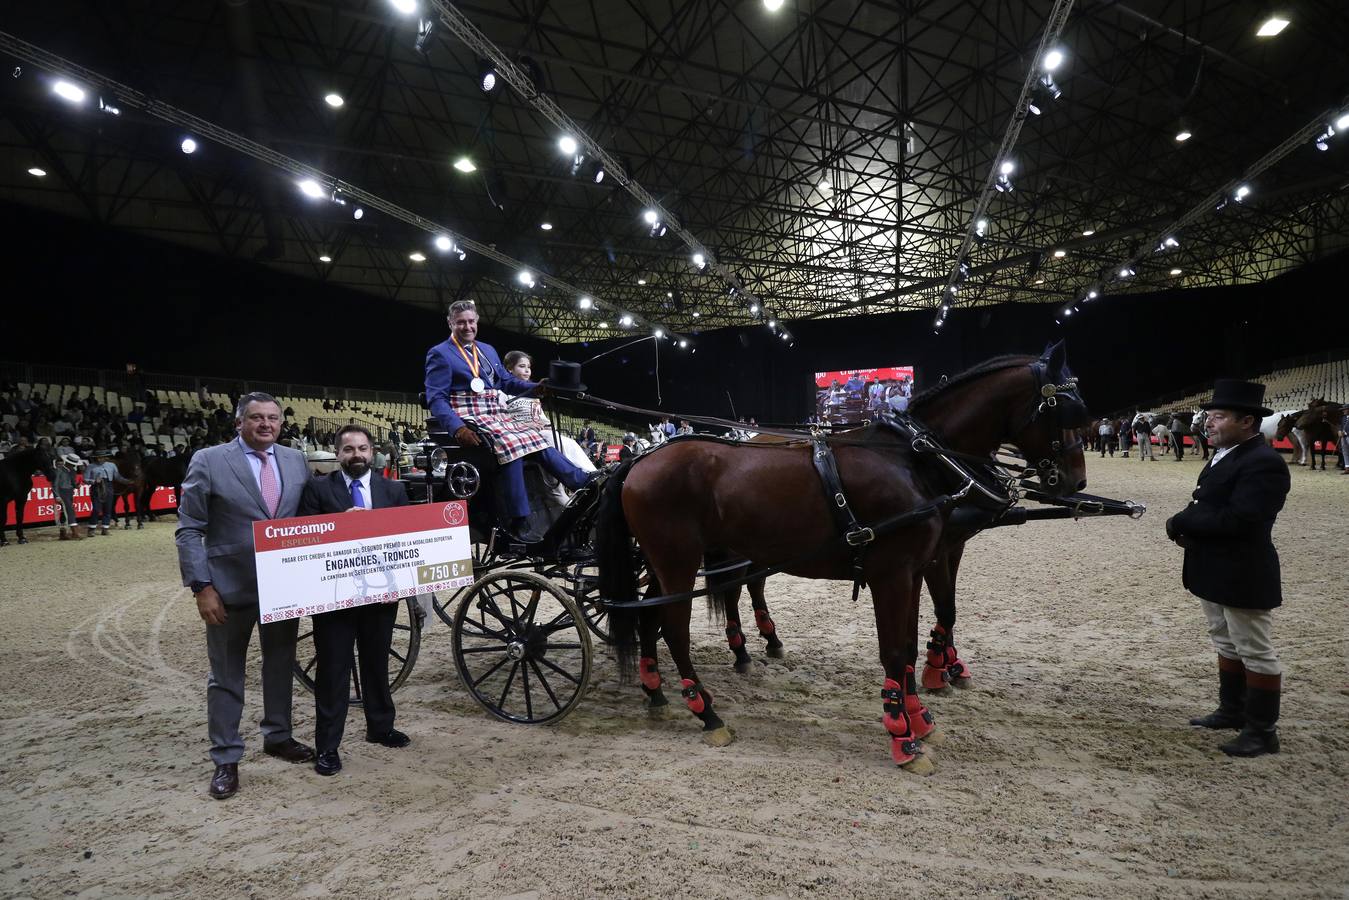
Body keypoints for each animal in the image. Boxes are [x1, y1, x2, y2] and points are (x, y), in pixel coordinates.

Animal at [596, 342, 1088, 773]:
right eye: (1064, 410)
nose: (1075, 482)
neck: (914, 458)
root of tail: (638, 460)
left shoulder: (914, 569)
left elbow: (911, 645)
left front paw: (920, 714)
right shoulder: (893, 573)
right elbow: (894, 649)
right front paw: (901, 735)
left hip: (666, 562)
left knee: (651, 616)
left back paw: (656, 691)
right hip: (678, 560)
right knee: (676, 630)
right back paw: (706, 712)